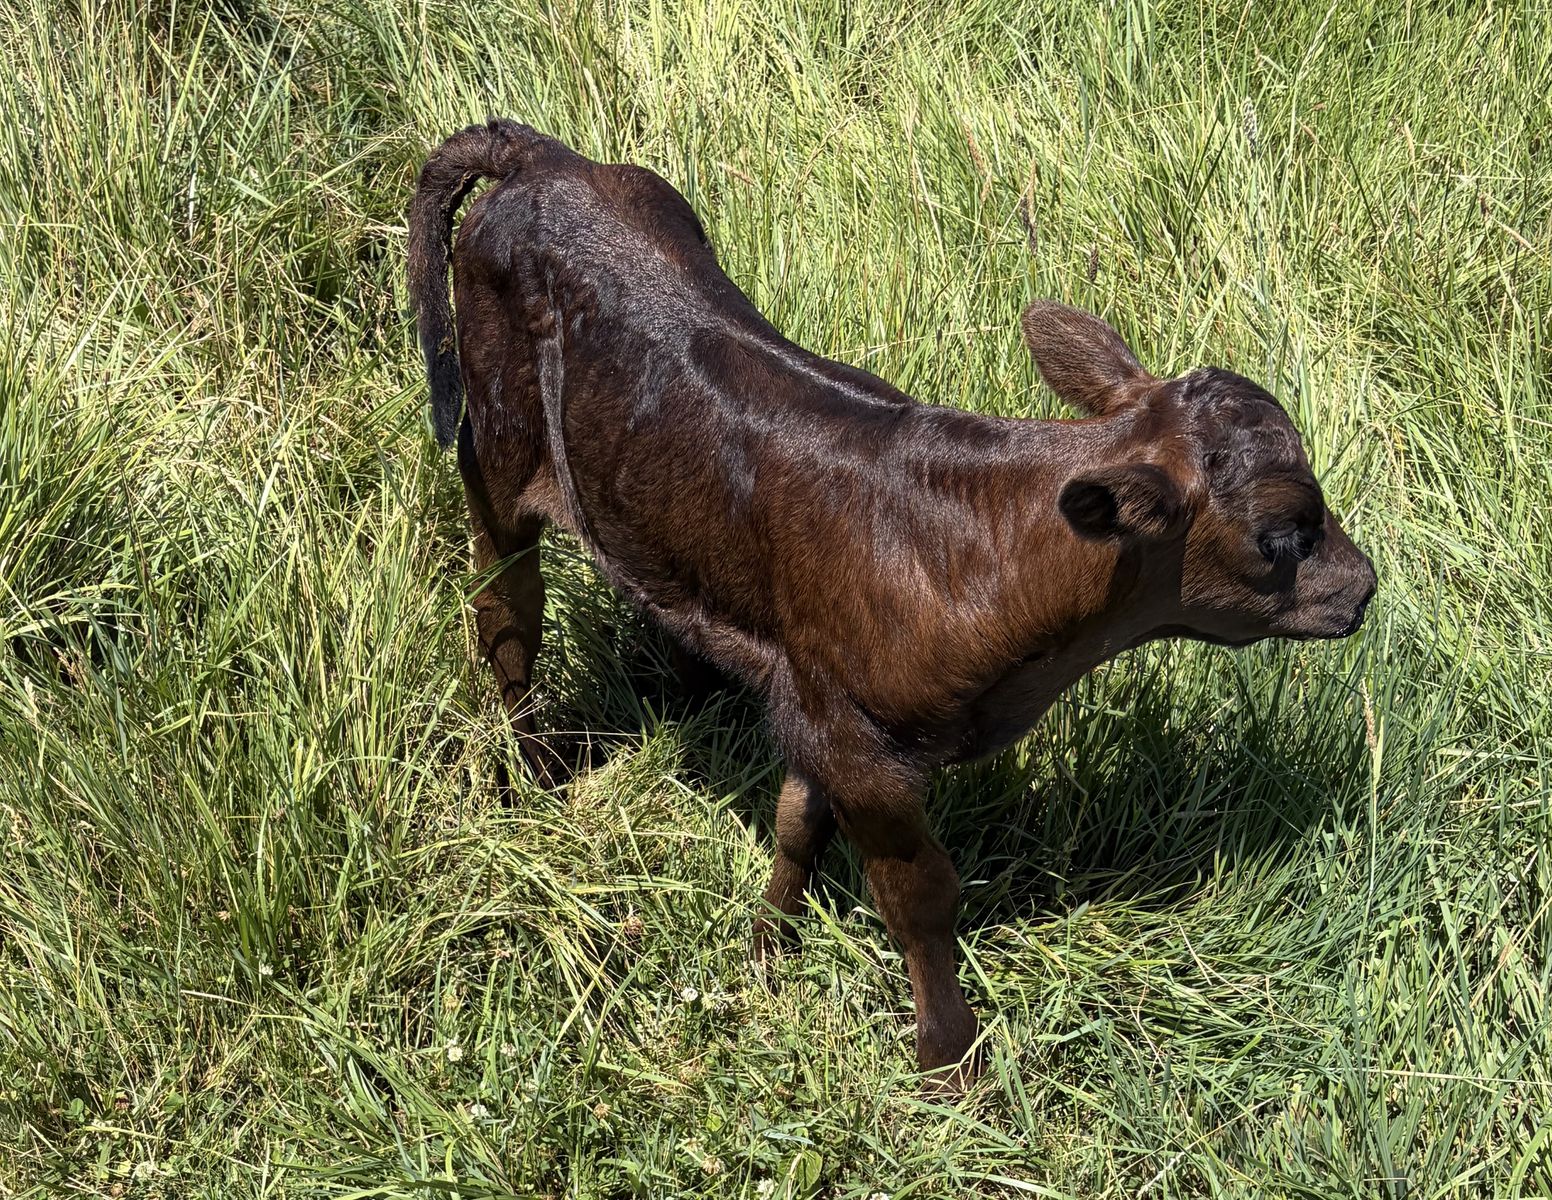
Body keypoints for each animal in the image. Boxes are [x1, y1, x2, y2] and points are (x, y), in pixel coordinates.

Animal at [407, 119, 1376, 1088]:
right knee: (506, 617)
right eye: (1284, 532)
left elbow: (795, 826)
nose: (1364, 585)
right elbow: (920, 896)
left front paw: (767, 948)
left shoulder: (817, 700)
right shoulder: (864, 748)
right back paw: (532, 780)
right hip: (495, 453)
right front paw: (952, 1062)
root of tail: (540, 156)